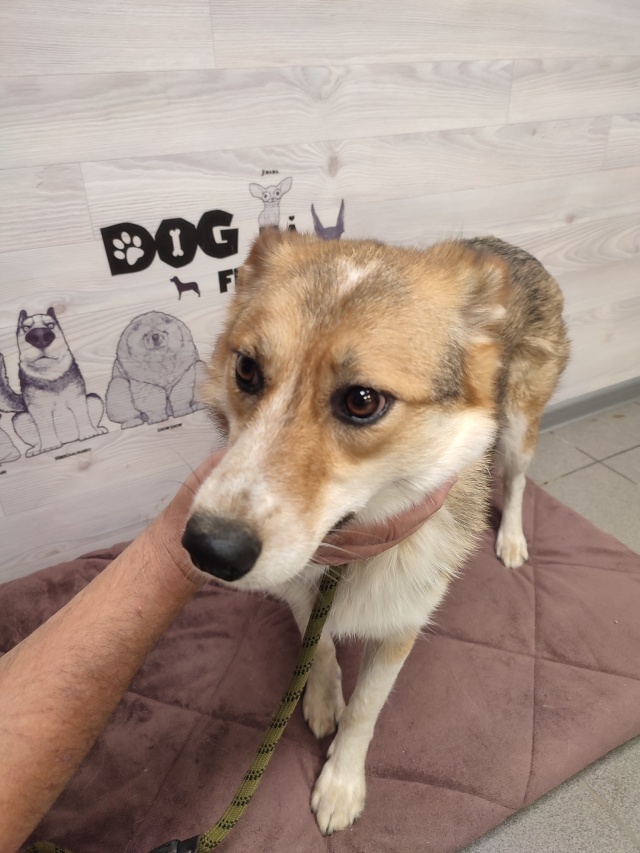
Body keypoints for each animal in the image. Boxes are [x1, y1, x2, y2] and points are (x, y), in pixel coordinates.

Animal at [0, 309, 107, 457]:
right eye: (26, 328)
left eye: (50, 325)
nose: (39, 335)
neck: (49, 373)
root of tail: (69, 440)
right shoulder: (38, 409)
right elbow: (45, 427)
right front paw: (49, 446)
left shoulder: (77, 398)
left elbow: (81, 415)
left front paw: (88, 433)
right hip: (19, 419)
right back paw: (36, 449)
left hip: (93, 398)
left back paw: (97, 430)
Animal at [181, 230, 569, 835]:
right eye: (246, 370)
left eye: (362, 401)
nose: (208, 548)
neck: (349, 552)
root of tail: (504, 245)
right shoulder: (303, 590)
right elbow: (317, 648)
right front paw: (320, 699)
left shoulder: (402, 625)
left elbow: (367, 710)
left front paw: (341, 783)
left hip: (517, 427)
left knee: (518, 478)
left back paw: (510, 538)